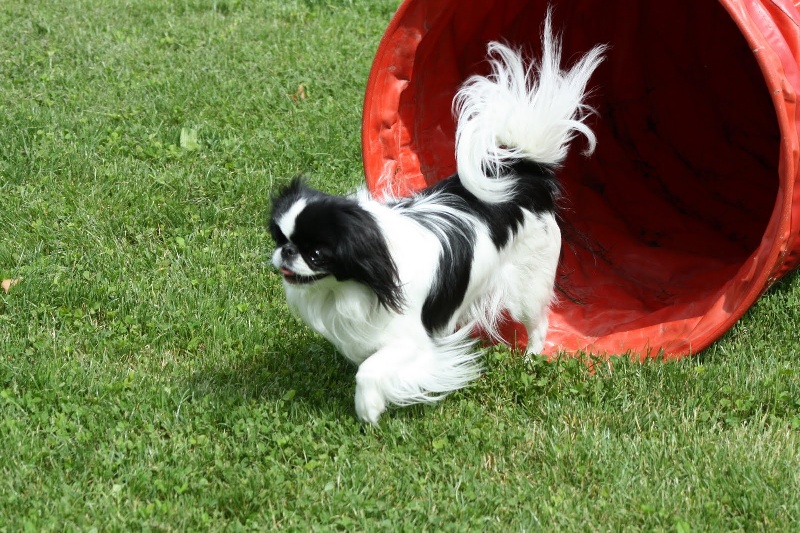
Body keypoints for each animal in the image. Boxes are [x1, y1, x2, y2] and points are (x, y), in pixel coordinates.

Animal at [270, 15, 605, 423]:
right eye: (279, 238)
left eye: (317, 254)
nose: (286, 253)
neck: (358, 281)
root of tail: (526, 172)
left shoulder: (412, 339)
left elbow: (370, 370)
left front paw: (368, 409)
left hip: (527, 285)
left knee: (538, 325)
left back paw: (530, 359)